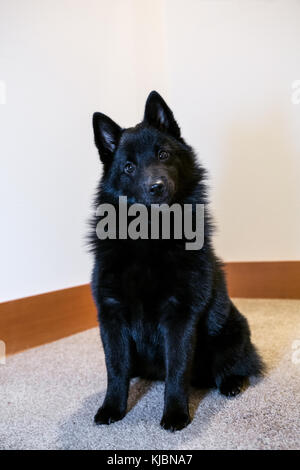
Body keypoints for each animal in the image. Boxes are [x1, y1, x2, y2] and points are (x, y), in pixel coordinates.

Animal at [89, 90, 262, 432]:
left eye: (163, 154)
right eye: (128, 167)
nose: (156, 187)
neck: (150, 237)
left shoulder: (180, 316)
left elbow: (177, 371)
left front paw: (175, 413)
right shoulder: (111, 314)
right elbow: (115, 368)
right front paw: (112, 408)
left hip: (232, 332)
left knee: (240, 365)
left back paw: (231, 383)